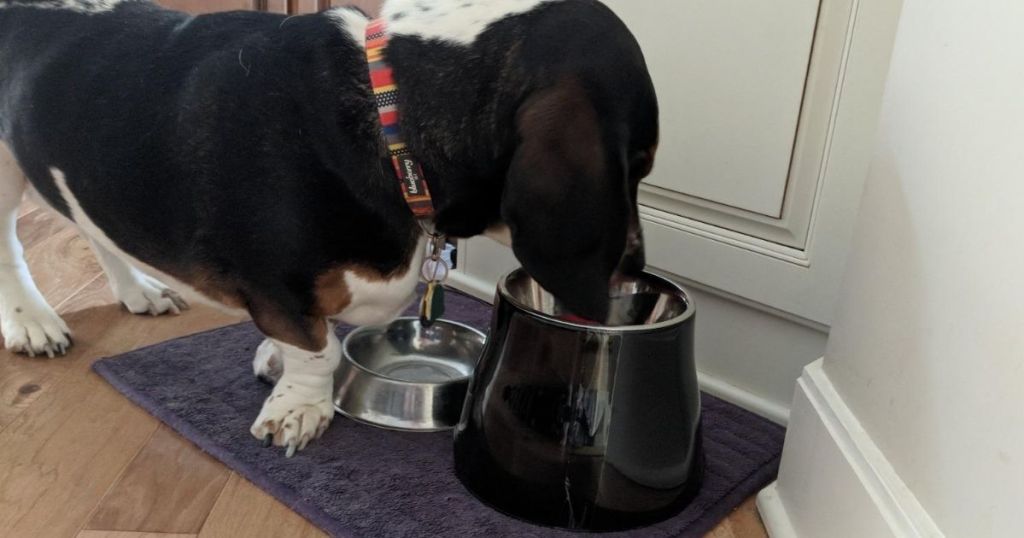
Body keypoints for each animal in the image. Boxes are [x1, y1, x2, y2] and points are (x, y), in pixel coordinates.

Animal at [0, 0, 655, 454]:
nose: (635, 268)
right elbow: (315, 348)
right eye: (639, 164)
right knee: (10, 248)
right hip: (5, 172)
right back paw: (33, 323)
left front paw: (273, 360)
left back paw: (138, 290)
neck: (391, 112)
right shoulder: (280, 287)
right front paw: (299, 410)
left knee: (91, 226)